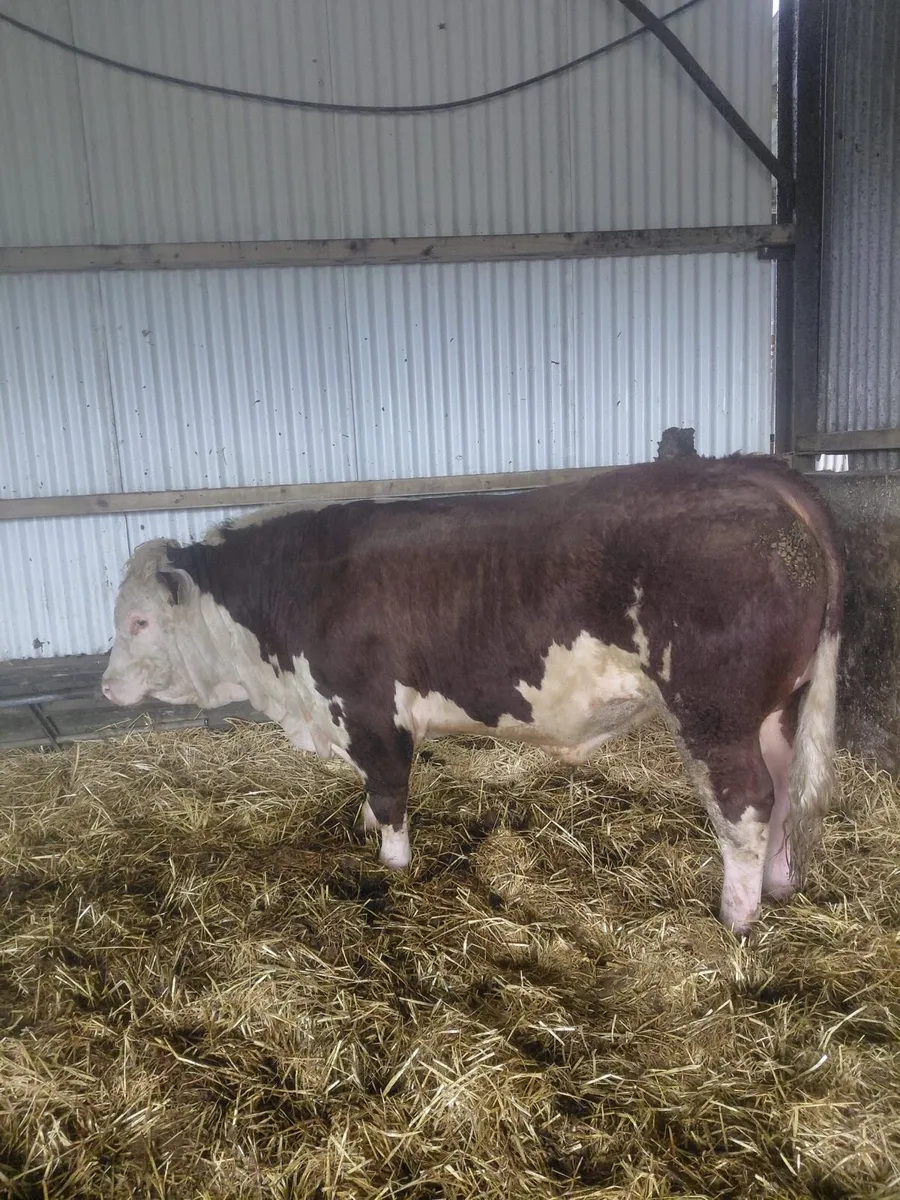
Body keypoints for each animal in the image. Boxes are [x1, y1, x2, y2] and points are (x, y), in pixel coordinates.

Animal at [102, 454, 843, 934]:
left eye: (139, 621)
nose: (106, 686)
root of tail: (752, 472)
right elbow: (372, 793)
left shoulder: (370, 710)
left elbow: (389, 793)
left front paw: (393, 868)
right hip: (777, 708)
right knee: (783, 789)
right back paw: (778, 886)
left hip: (714, 712)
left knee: (745, 803)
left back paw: (736, 917)